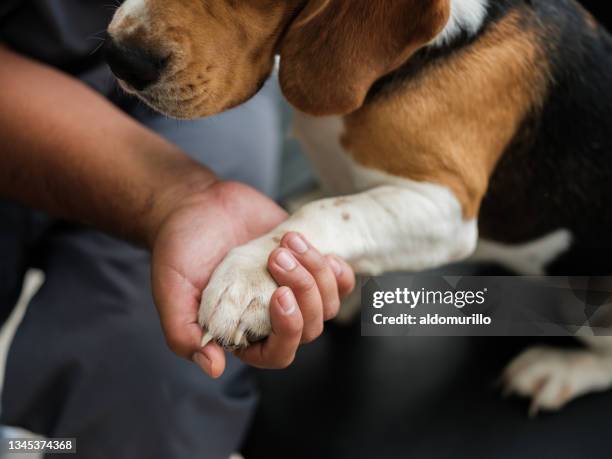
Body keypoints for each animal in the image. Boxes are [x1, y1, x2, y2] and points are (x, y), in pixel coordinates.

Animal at [107, 0, 612, 416]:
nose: (119, 55)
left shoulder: (447, 208)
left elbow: (325, 212)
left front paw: (251, 280)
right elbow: (337, 206)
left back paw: (555, 369)